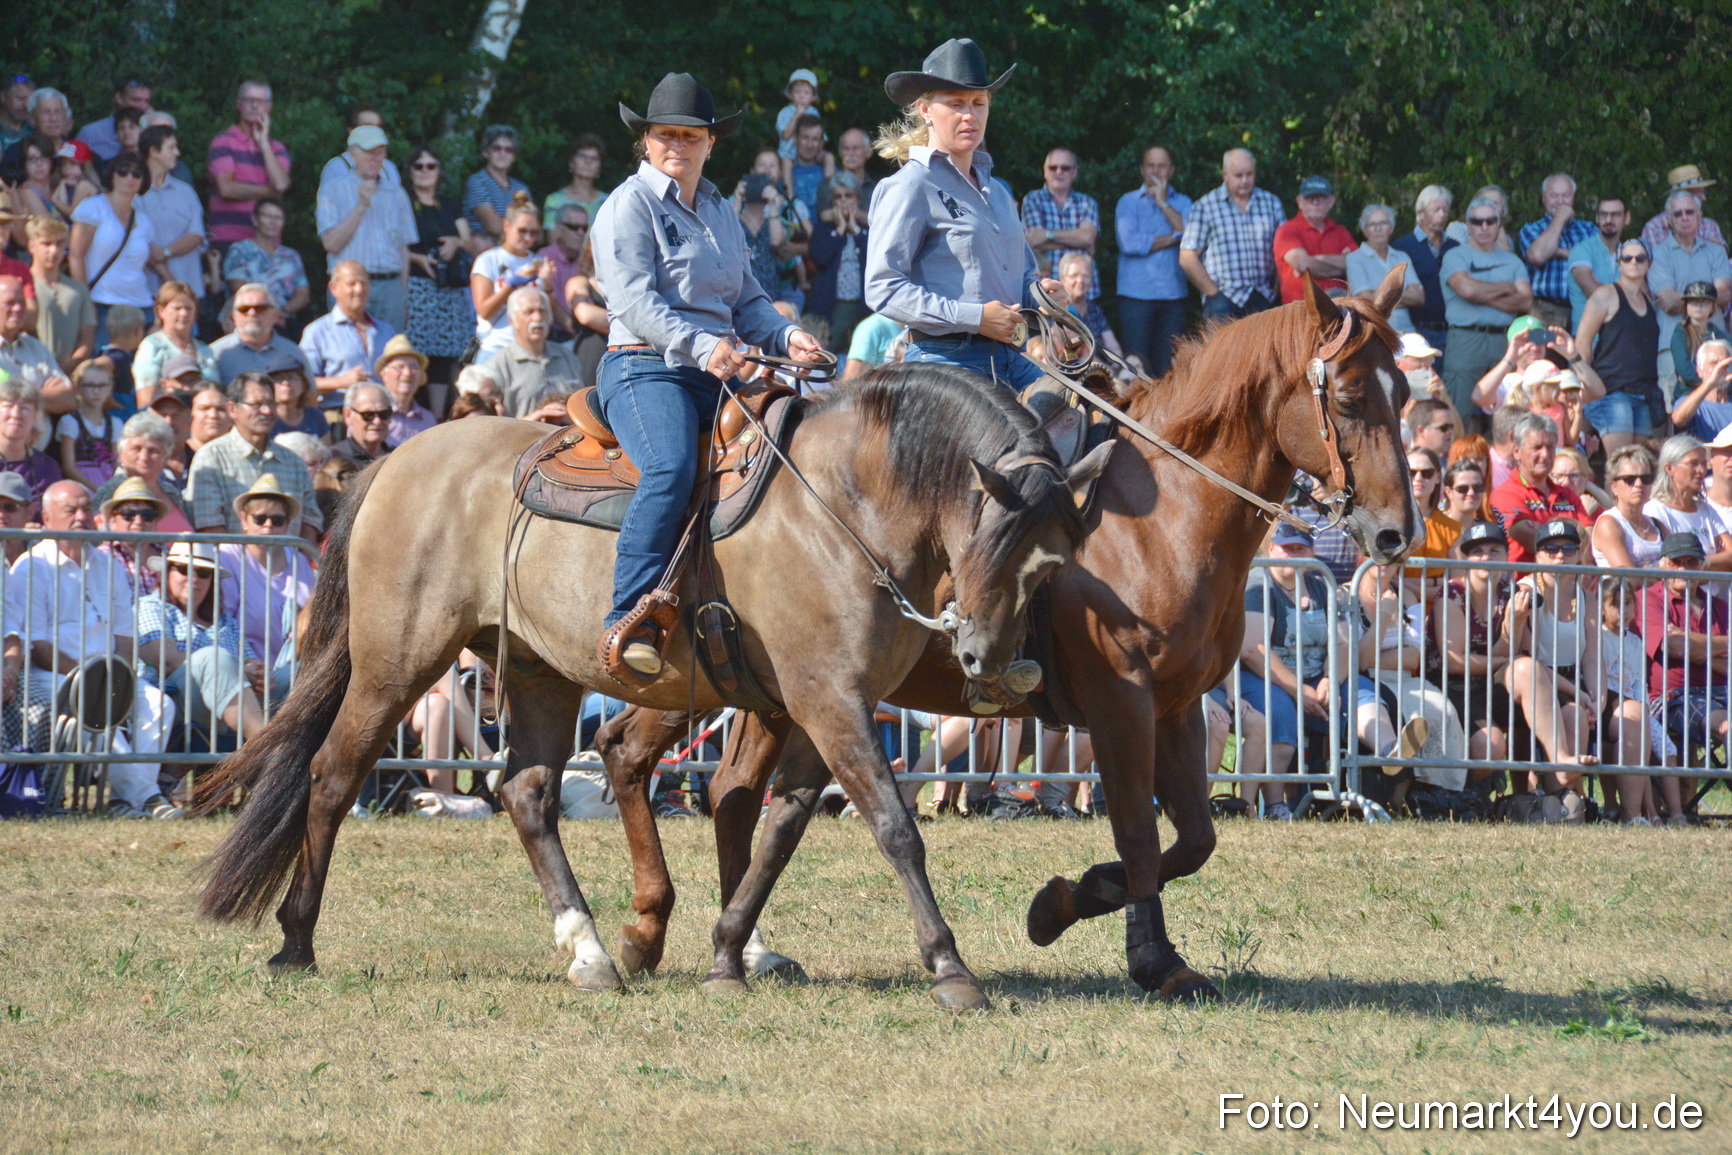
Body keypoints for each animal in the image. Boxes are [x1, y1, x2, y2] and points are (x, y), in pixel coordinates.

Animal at [193, 362, 1111, 1010]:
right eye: (992, 541)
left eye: (1054, 565)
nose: (993, 664)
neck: (843, 503)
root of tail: (395, 461)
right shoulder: (828, 701)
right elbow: (893, 825)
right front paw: (950, 966)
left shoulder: (817, 709)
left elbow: (777, 829)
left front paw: (730, 951)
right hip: (397, 662)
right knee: (333, 775)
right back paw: (297, 940)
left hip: (539, 670)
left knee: (529, 791)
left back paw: (593, 948)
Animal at [596, 269, 1421, 1002]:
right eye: (1350, 396)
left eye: (1405, 395)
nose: (1394, 533)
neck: (1160, 513)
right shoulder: (1121, 703)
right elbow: (1139, 833)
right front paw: (1132, 947)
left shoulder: (1178, 704)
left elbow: (1192, 838)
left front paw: (1083, 908)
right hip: (715, 679)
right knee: (636, 755)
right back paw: (642, 935)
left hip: (761, 691)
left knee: (708, 782)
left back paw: (705, 944)